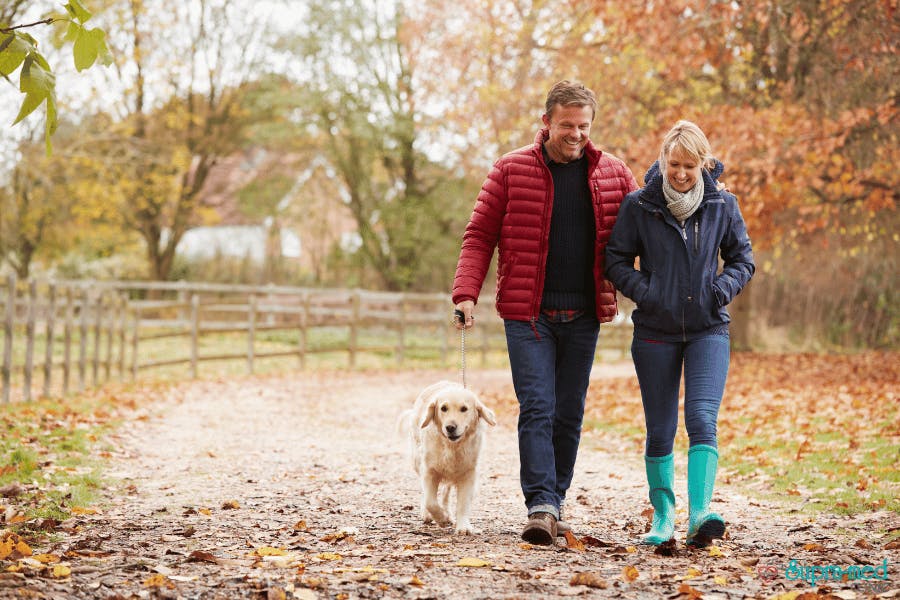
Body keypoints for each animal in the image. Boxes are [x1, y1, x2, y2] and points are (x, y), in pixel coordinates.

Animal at [402, 380, 500, 536]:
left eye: (464, 409)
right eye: (443, 408)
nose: (450, 427)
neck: (452, 447)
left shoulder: (468, 474)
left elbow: (463, 504)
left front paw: (463, 526)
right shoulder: (429, 471)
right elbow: (430, 501)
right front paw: (441, 519)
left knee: (445, 492)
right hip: (417, 461)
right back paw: (429, 515)